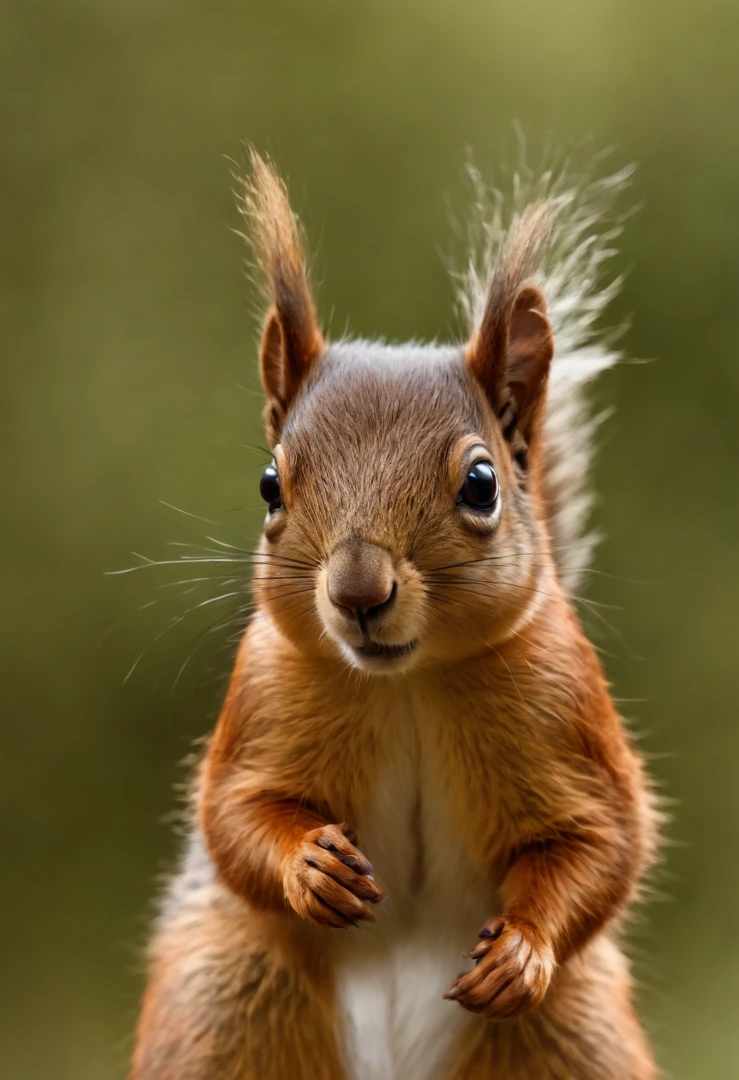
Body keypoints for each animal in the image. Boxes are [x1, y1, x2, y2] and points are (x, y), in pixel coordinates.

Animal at [126, 150, 656, 1080]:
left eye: (481, 484)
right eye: (269, 483)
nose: (357, 592)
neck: (405, 681)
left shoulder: (564, 708)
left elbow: (600, 842)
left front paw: (522, 951)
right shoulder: (263, 698)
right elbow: (233, 813)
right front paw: (310, 867)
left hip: (573, 1041)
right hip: (221, 1010)